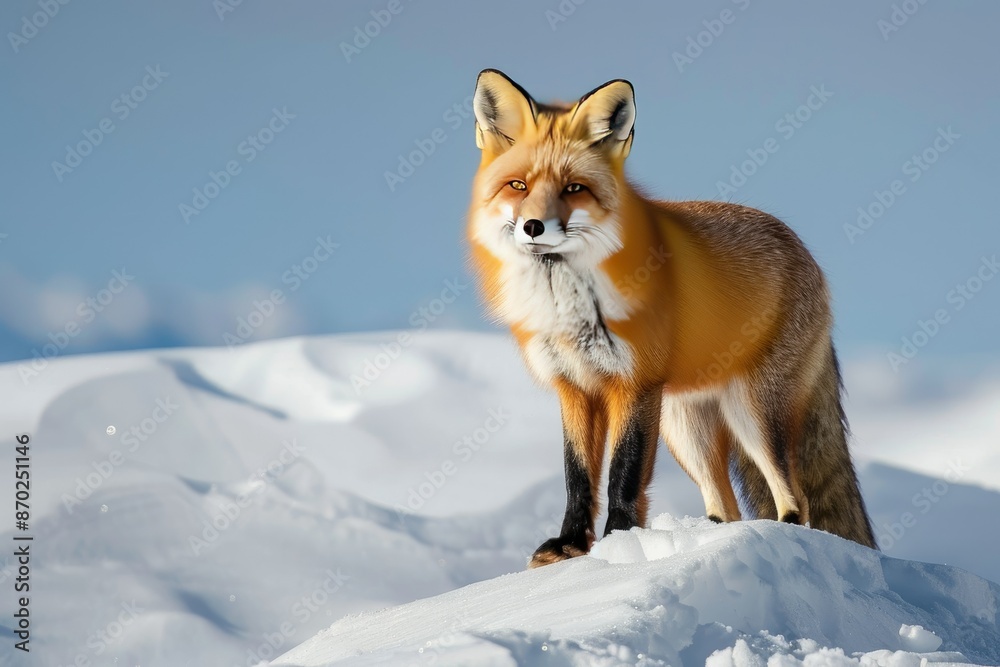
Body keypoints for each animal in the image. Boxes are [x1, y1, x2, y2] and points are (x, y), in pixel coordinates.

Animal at [465, 69, 877, 568]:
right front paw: (570, 546)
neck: (572, 308)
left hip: (752, 413)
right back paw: (702, 540)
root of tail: (804, 251)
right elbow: (576, 476)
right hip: (685, 427)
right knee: (726, 504)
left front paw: (620, 542)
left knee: (795, 497)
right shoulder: (574, 387)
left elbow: (623, 473)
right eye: (518, 186)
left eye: (574, 188)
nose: (533, 227)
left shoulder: (634, 384)